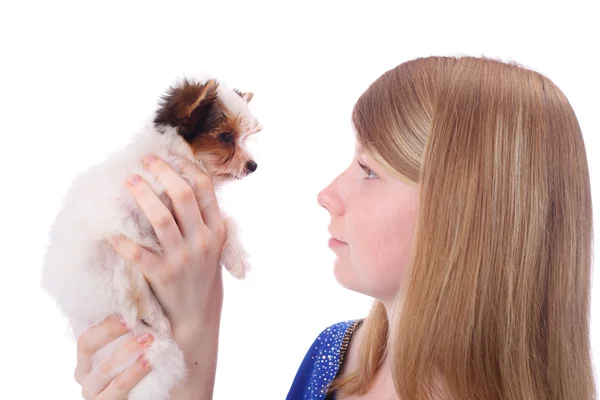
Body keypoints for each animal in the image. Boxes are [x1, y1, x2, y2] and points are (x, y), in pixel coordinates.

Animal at [39, 76, 260, 400]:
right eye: (225, 137)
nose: (253, 165)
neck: (177, 160)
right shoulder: (127, 222)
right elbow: (132, 265)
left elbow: (226, 222)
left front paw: (236, 259)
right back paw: (153, 318)